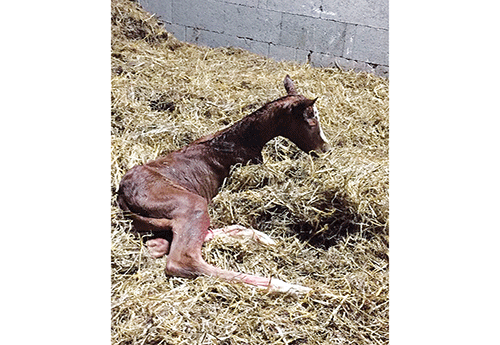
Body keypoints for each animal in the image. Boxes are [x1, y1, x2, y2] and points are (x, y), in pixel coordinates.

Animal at [116, 75, 328, 292]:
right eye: (312, 120)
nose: (325, 148)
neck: (238, 141)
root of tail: (122, 194)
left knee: (168, 241)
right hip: (193, 204)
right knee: (182, 260)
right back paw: (291, 287)